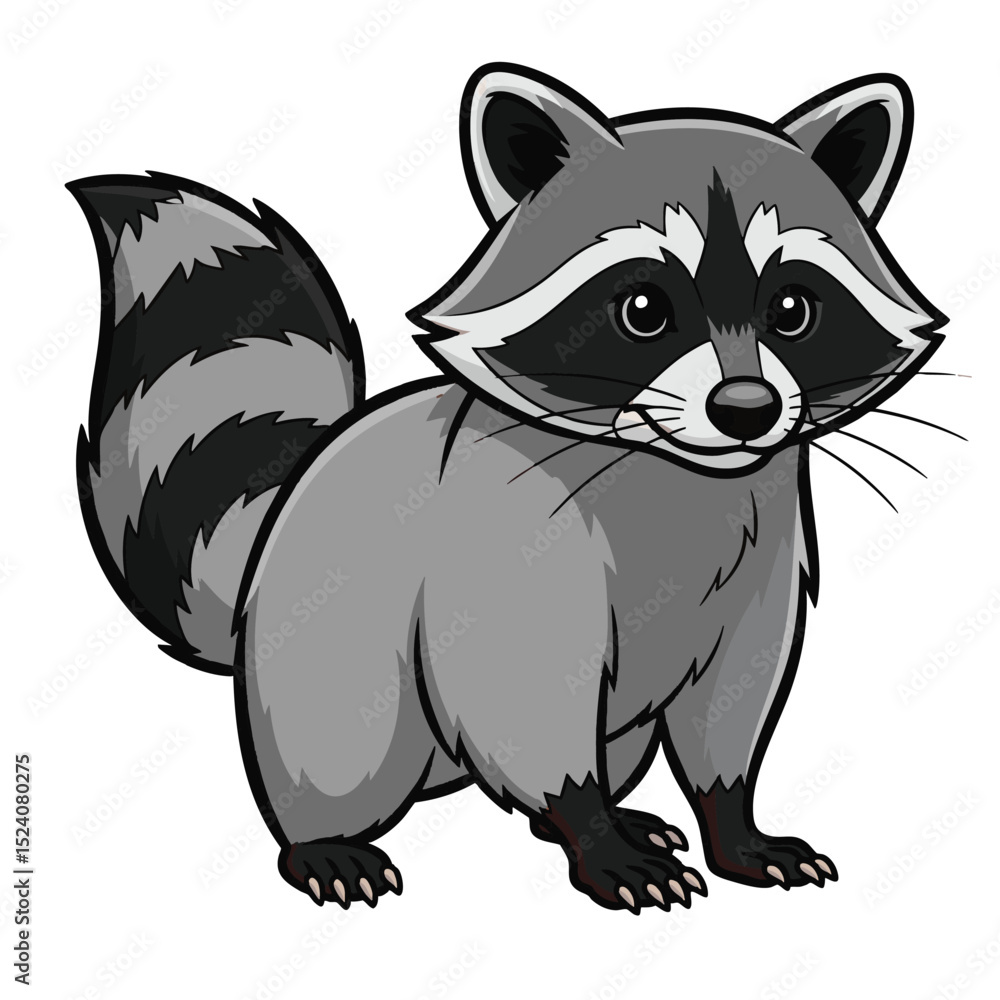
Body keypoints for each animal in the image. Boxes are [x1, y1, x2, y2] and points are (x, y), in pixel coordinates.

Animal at [70, 63, 945, 913]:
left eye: (792, 308)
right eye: (644, 309)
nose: (746, 410)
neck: (676, 474)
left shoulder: (763, 555)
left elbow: (733, 702)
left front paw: (732, 822)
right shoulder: (507, 538)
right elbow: (522, 698)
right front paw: (591, 831)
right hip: (319, 650)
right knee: (342, 742)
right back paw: (329, 840)